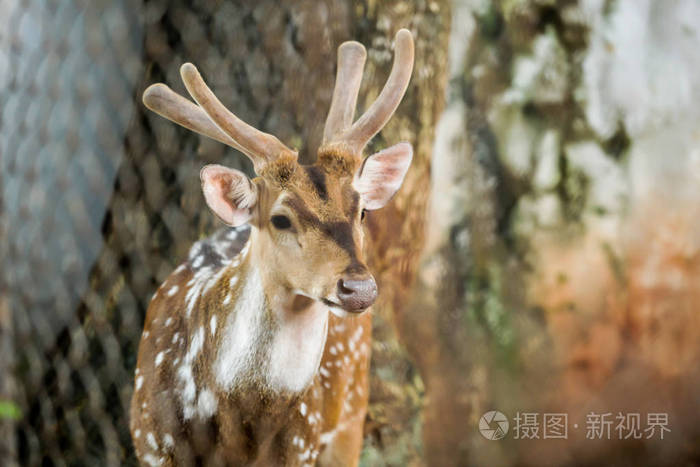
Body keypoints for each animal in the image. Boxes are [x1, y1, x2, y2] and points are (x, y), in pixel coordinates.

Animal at [129, 29, 414, 466]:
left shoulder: (303, 445)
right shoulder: (150, 442)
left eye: (363, 211)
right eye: (280, 218)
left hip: (351, 411)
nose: (358, 288)